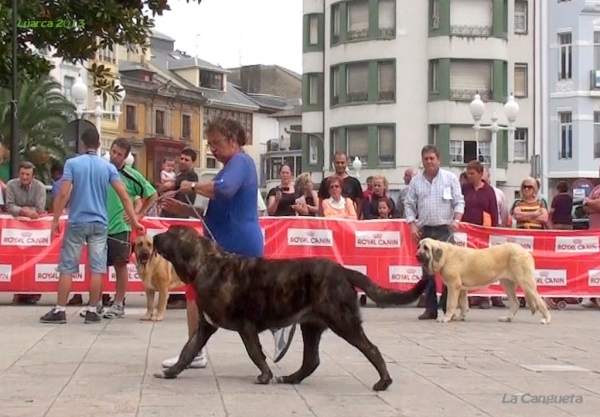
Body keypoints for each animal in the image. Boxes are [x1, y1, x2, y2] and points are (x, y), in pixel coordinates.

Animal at [154, 224, 426, 390]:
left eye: (170, 233)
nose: (155, 236)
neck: (205, 263)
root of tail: (344, 271)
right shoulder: (205, 326)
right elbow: (187, 350)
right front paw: (171, 372)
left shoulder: (245, 325)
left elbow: (254, 353)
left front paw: (264, 375)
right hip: (311, 326)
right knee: (311, 360)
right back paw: (291, 377)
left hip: (343, 321)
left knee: (371, 349)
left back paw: (384, 381)